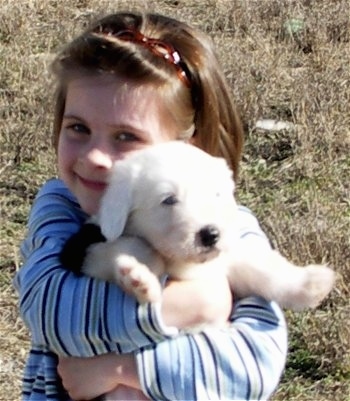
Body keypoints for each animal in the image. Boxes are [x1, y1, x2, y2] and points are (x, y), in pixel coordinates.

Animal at [80, 141, 334, 310]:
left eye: (215, 194)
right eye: (168, 200)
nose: (211, 234)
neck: (185, 264)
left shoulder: (228, 261)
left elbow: (261, 267)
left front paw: (308, 284)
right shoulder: (92, 254)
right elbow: (135, 249)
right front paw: (138, 280)